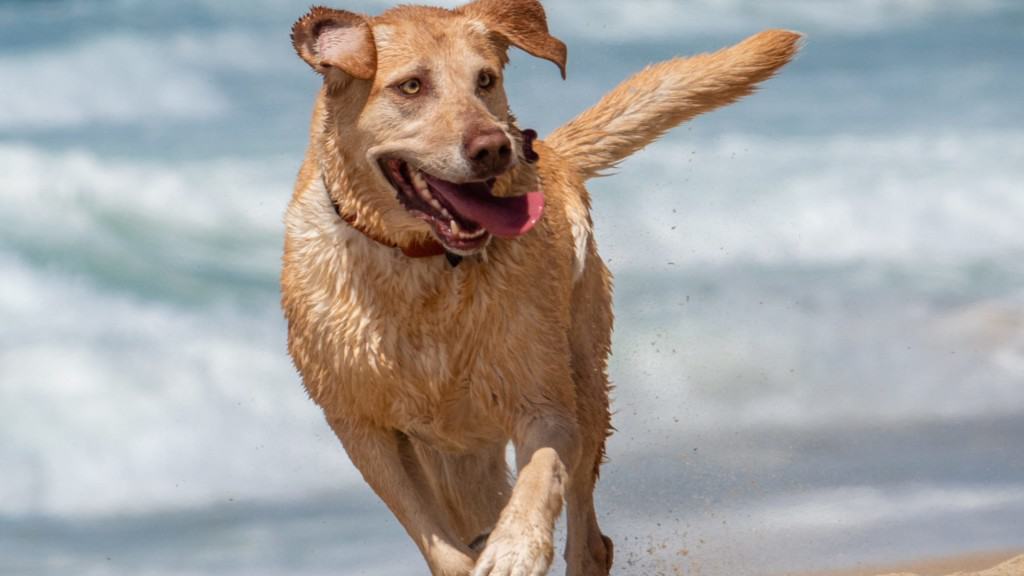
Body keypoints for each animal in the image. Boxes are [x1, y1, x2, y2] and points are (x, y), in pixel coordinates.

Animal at [282, 2, 798, 569]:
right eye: (411, 86)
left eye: (485, 79)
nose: (494, 148)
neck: (426, 267)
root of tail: (549, 151)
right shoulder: (363, 431)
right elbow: (434, 539)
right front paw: (475, 554)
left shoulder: (544, 403)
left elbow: (541, 473)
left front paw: (515, 548)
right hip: (454, 455)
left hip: (584, 379)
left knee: (589, 537)